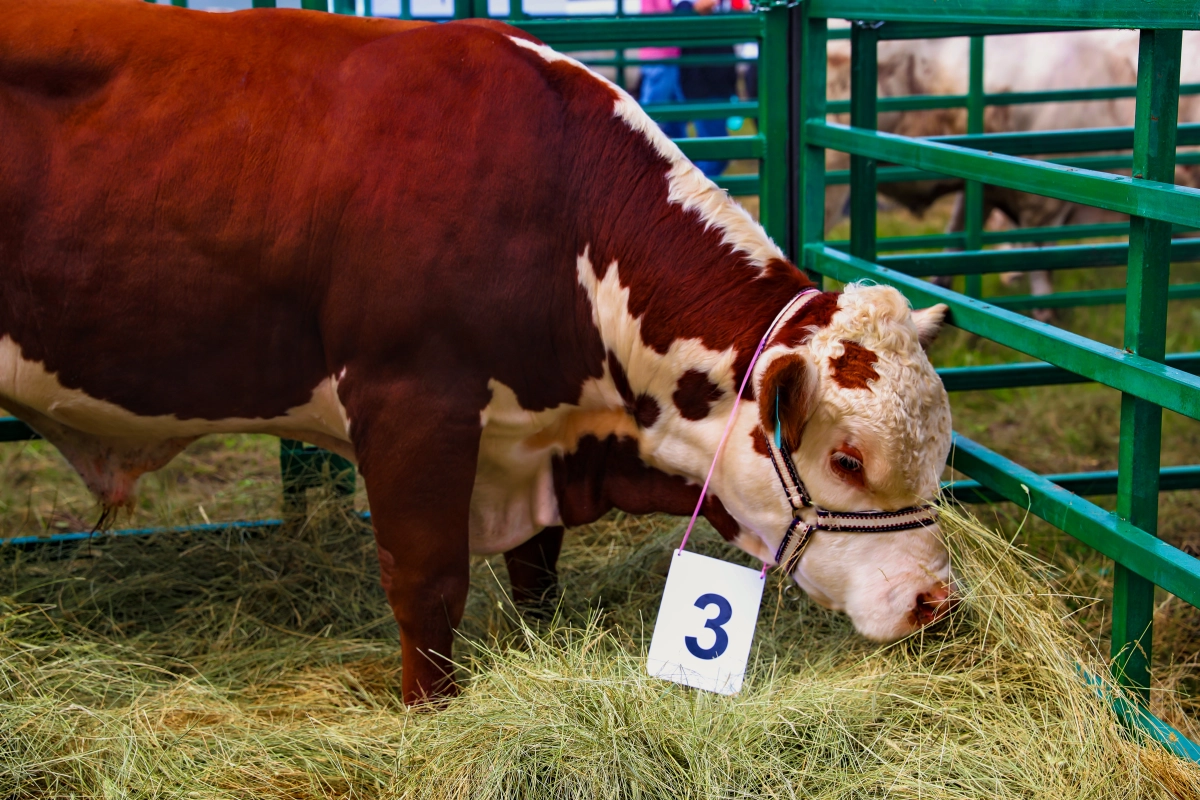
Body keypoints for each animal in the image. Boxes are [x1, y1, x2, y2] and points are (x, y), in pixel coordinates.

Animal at [2, 0, 955, 700]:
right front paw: (430, 706)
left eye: (941, 453)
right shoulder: (410, 405)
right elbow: (427, 584)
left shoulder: (541, 436)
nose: (934, 601)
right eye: (846, 458)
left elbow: (536, 568)